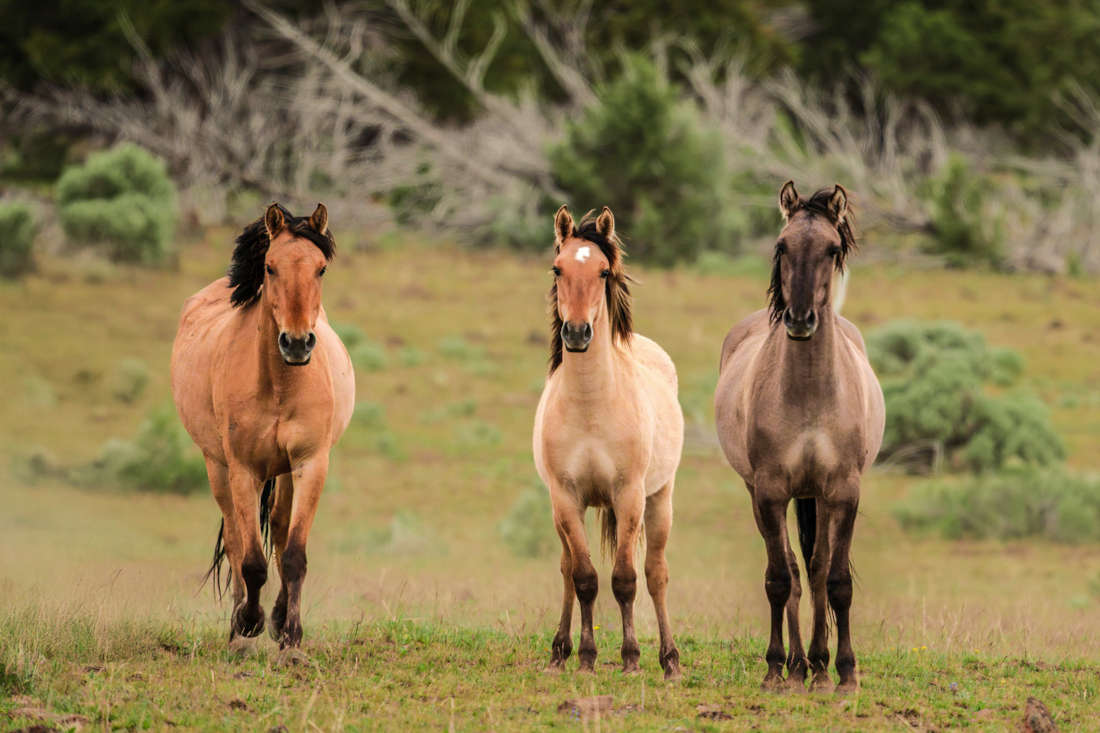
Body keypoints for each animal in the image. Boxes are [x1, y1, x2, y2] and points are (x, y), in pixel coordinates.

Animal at [171, 202, 354, 650]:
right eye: (271, 267)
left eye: (321, 268)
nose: (297, 343)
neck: (279, 384)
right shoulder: (244, 470)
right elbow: (251, 560)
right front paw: (248, 622)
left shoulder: (310, 464)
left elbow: (293, 554)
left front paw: (290, 633)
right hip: (217, 468)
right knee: (237, 541)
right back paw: (238, 626)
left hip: (284, 472)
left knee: (281, 527)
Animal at [533, 205, 685, 680]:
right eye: (557, 268)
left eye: (602, 271)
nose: (577, 333)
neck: (591, 407)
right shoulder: (566, 498)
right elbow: (583, 578)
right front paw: (584, 656)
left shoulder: (628, 494)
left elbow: (625, 579)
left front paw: (632, 657)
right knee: (567, 570)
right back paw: (559, 650)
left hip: (660, 499)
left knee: (655, 572)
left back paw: (670, 659)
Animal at [713, 182, 884, 693]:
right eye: (781, 246)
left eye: (831, 248)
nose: (801, 320)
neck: (808, 393)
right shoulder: (770, 492)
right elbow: (778, 578)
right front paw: (776, 667)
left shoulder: (843, 491)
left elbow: (835, 580)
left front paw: (843, 672)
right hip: (763, 492)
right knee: (792, 569)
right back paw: (795, 665)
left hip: (819, 497)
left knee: (816, 567)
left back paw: (817, 663)